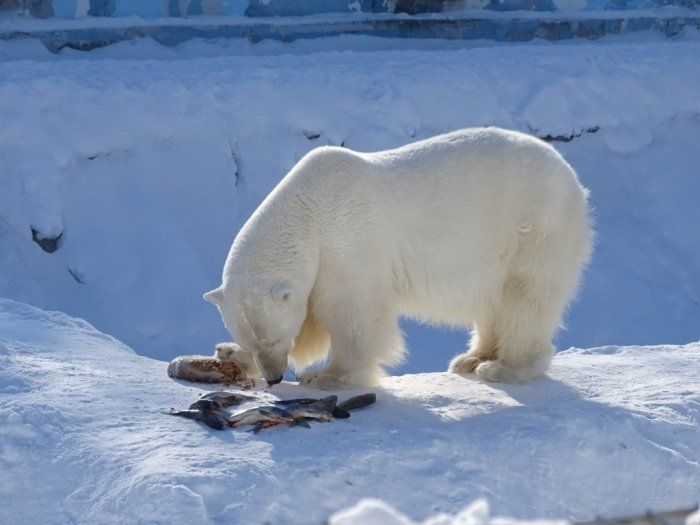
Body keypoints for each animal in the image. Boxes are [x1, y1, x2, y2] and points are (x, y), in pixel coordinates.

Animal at [202, 127, 592, 388]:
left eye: (271, 338)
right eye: (253, 340)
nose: (273, 377)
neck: (307, 211)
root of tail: (574, 180)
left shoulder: (348, 244)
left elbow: (352, 313)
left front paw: (328, 376)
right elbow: (311, 321)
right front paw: (227, 352)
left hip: (532, 229)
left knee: (525, 299)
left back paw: (503, 367)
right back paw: (471, 358)